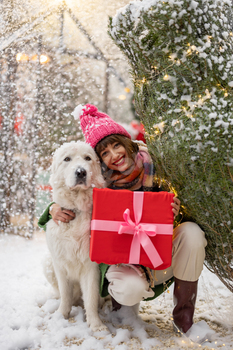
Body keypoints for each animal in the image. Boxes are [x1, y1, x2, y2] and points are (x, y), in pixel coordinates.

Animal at [43, 141, 107, 332]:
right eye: (67, 159)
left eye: (87, 158)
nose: (81, 172)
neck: (77, 211)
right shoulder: (59, 264)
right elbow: (65, 295)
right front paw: (61, 315)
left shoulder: (91, 267)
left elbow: (91, 298)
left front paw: (96, 324)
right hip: (47, 262)